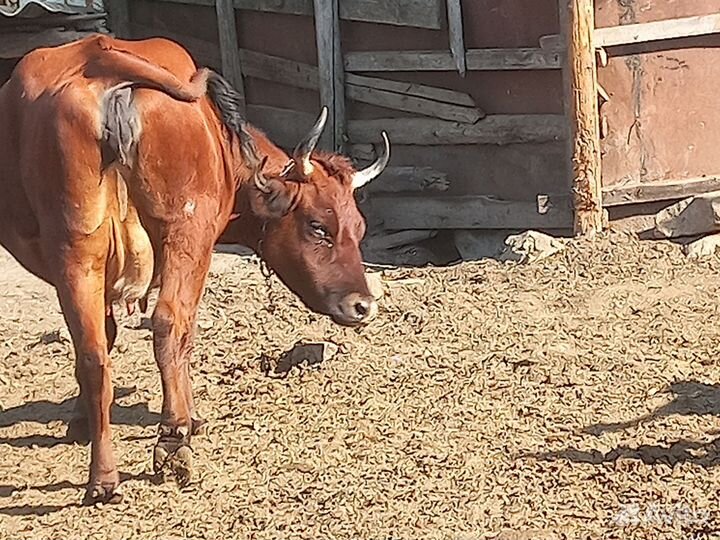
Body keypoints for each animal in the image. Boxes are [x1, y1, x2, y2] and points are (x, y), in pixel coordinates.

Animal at [0, 34, 390, 504]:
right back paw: (173, 439)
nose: (363, 305)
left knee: (92, 352)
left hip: (78, 251)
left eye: (359, 228)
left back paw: (104, 478)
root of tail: (101, 60)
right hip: (185, 232)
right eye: (319, 226)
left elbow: (104, 338)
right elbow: (182, 336)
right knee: (170, 323)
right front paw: (189, 419)